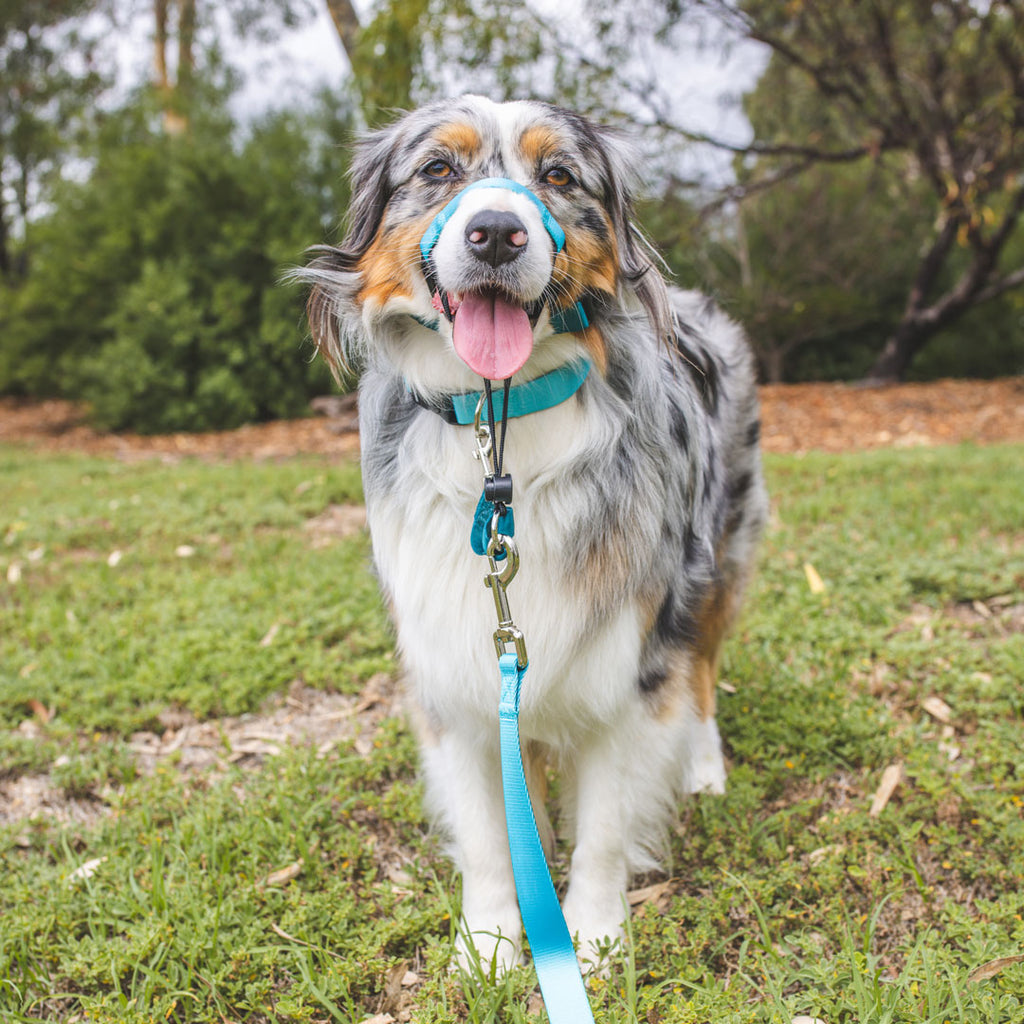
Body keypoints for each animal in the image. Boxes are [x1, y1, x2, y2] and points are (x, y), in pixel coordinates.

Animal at [299, 94, 765, 966]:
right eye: (437, 169)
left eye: (559, 176)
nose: (496, 232)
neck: (502, 426)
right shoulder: (453, 664)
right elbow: (488, 833)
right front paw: (489, 943)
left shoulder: (627, 656)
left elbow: (608, 822)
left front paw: (595, 937)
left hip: (719, 560)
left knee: (701, 671)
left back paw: (704, 766)